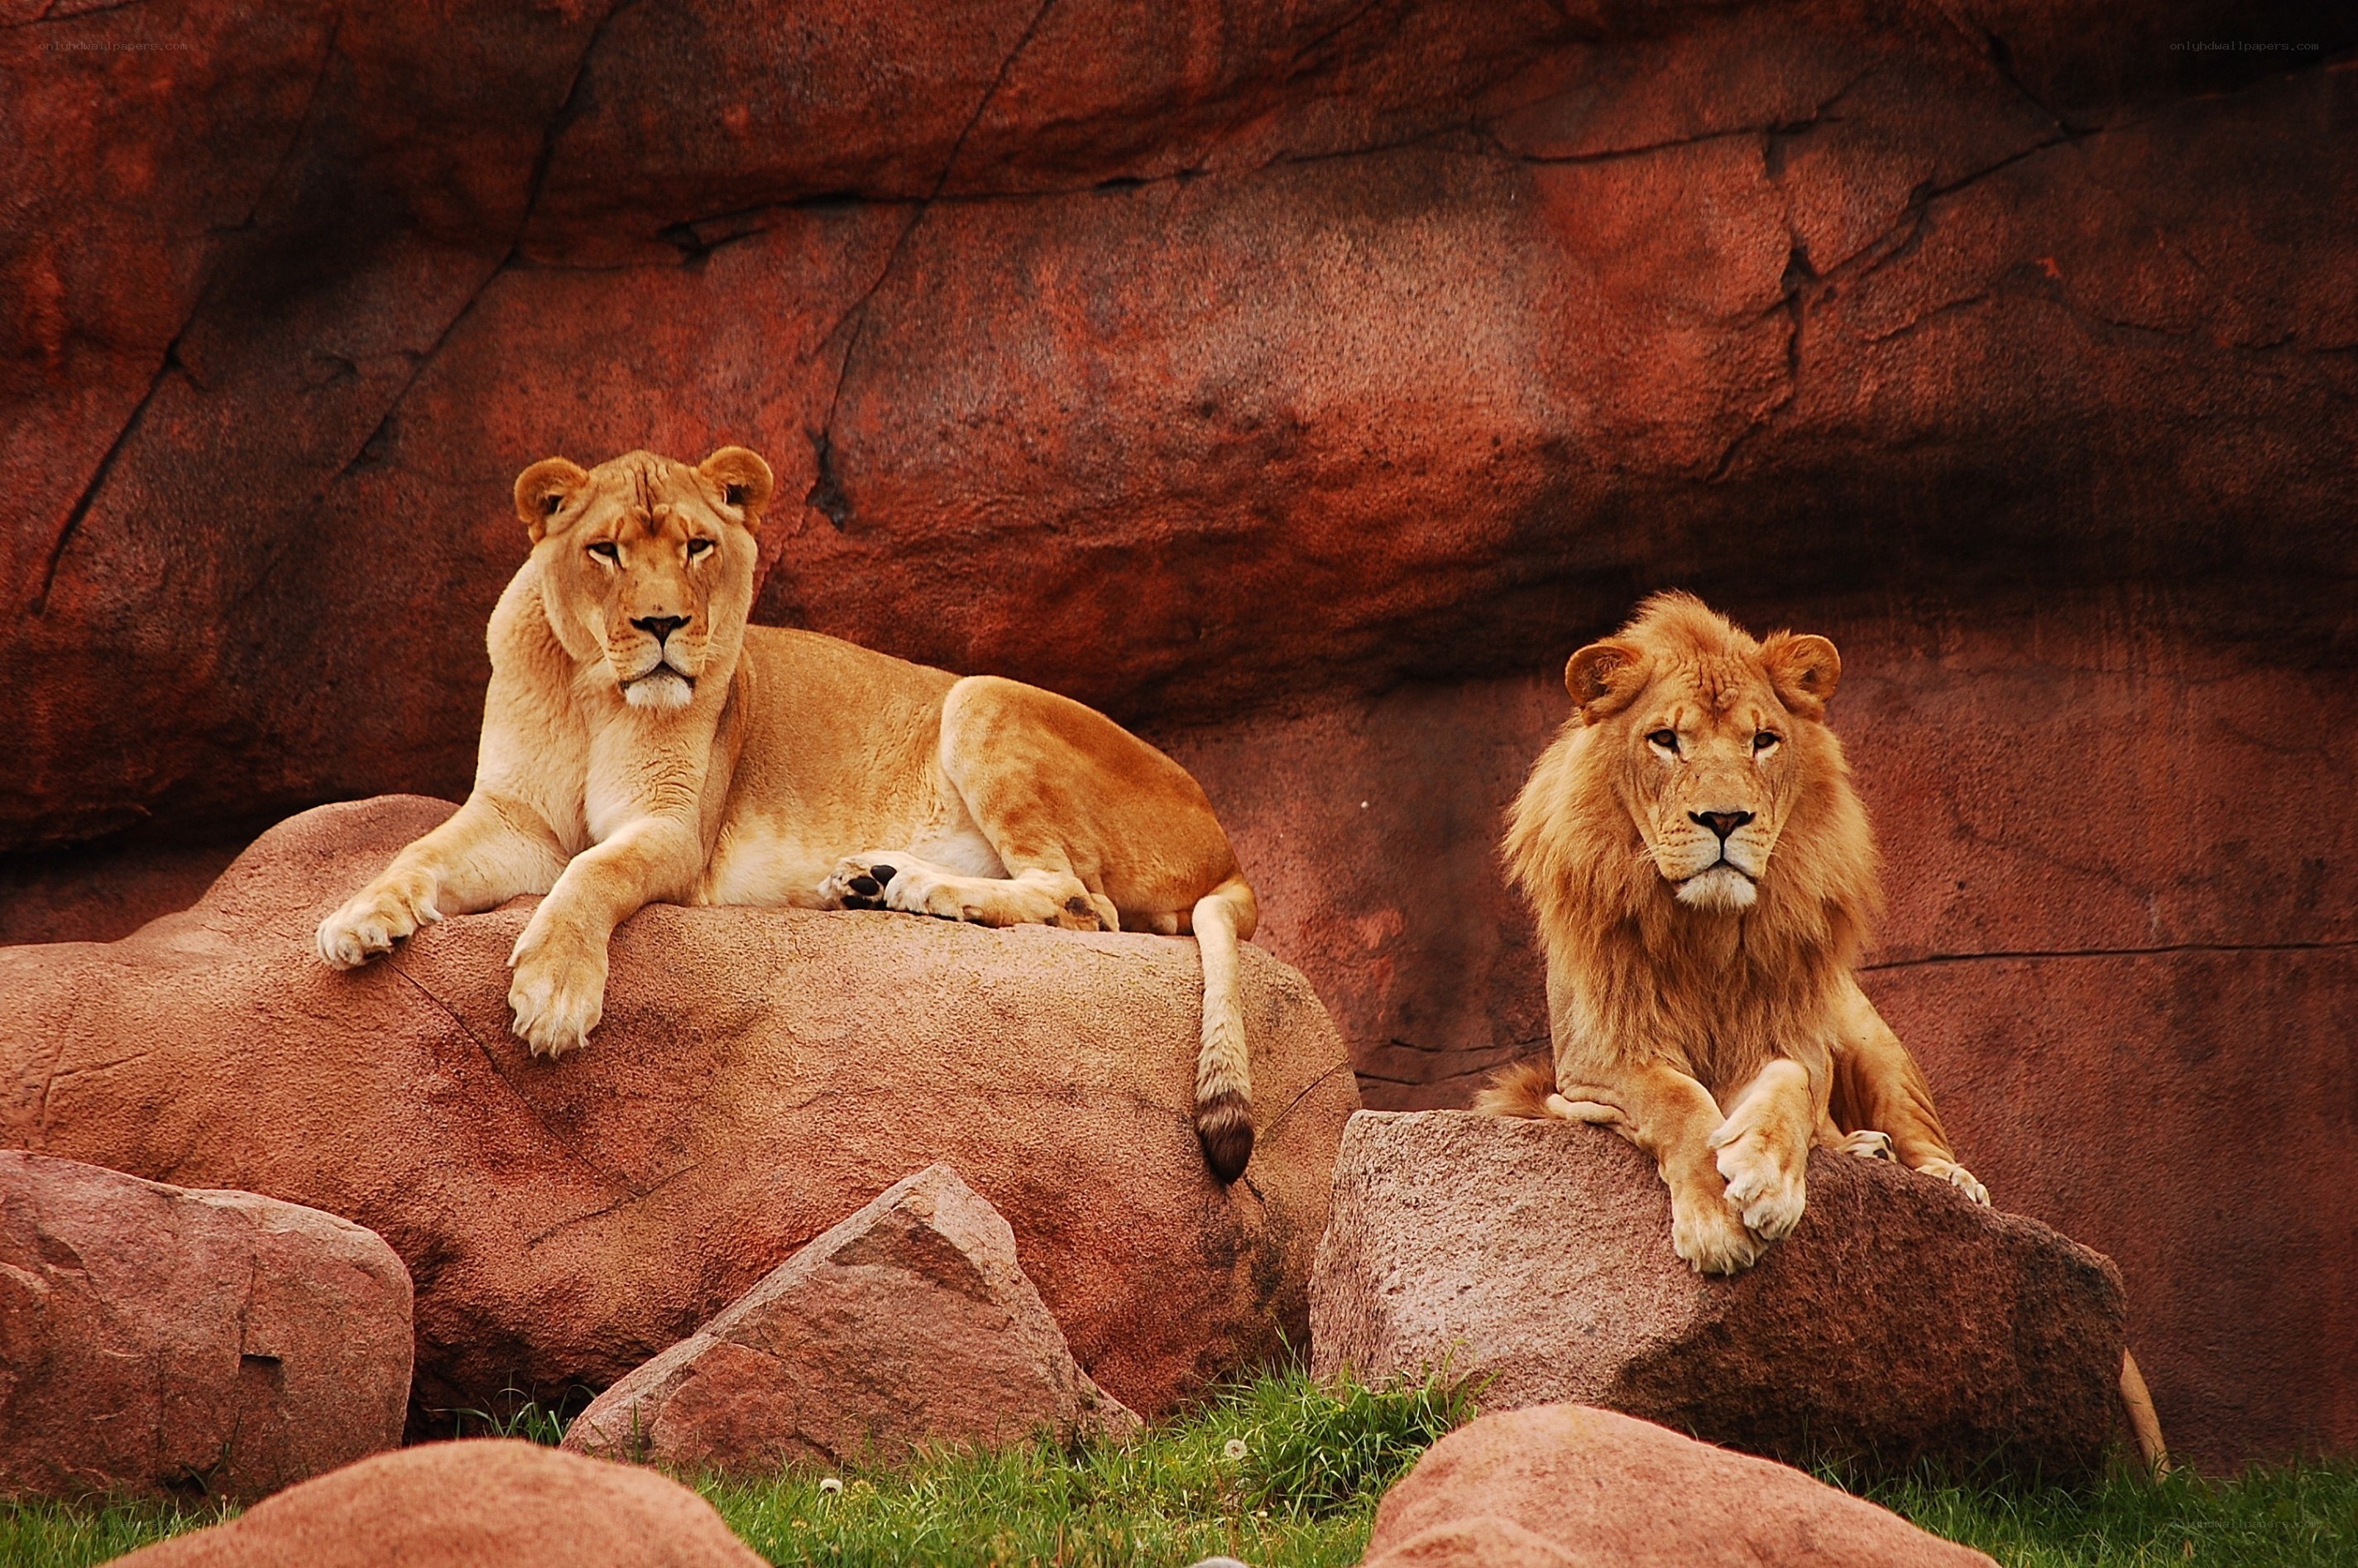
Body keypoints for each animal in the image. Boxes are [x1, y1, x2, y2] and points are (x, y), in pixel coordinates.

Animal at [314, 446, 1263, 1182]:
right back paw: (870, 878)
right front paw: (357, 919)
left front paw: (553, 990)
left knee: (1079, 901)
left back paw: (911, 886)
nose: (663, 623)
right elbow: (418, 853)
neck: (592, 691)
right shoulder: (515, 818)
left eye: (697, 545)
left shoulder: (674, 831)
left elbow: (592, 872)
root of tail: (1227, 848)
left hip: (983, 696)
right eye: (605, 550)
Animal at [1477, 592, 2167, 1468]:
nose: (1726, 818)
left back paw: (1939, 1177)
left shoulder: (1795, 1036)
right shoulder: (1591, 1063)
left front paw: (1768, 1179)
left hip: (1869, 1028)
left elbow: (1789, 1082)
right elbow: (1677, 1098)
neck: (1704, 933)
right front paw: (1717, 1219)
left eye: (1762, 740)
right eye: (1665, 739)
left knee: (1922, 1137)